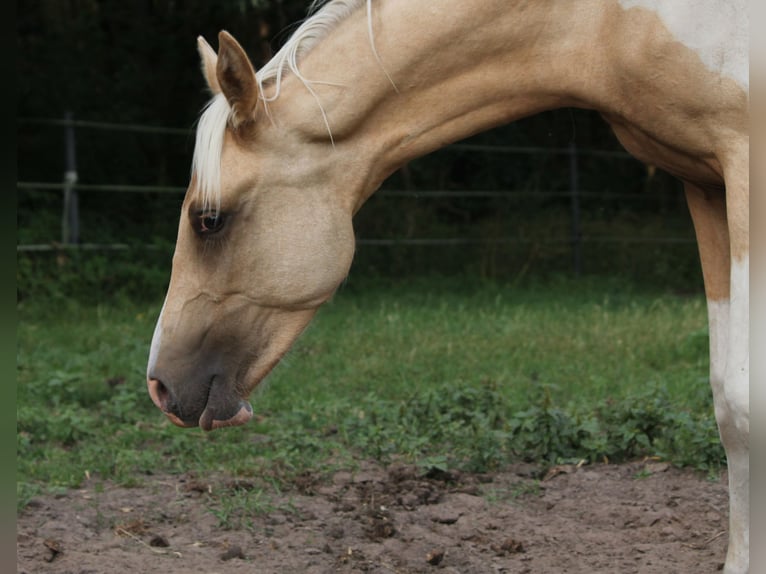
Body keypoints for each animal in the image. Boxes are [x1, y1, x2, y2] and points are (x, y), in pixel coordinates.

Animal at [144, 2, 752, 572]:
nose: (159, 387)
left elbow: (747, 398)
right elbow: (728, 398)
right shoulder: (703, 185)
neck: (607, 21)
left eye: (209, 220)